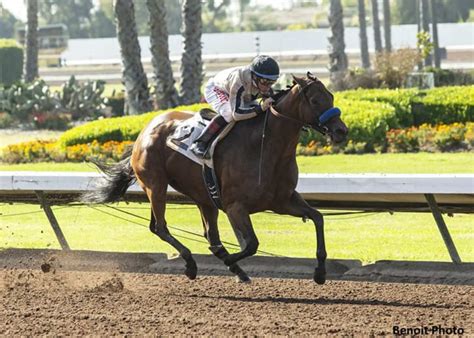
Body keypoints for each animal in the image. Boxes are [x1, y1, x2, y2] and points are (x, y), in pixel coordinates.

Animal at [82, 72, 348, 284]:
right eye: (315, 100)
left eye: (331, 97)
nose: (341, 131)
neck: (265, 146)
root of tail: (145, 131)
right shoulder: (235, 206)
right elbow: (252, 244)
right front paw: (231, 262)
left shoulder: (282, 201)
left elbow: (318, 218)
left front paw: (320, 273)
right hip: (156, 186)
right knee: (161, 227)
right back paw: (192, 265)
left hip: (203, 197)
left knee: (209, 237)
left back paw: (235, 270)